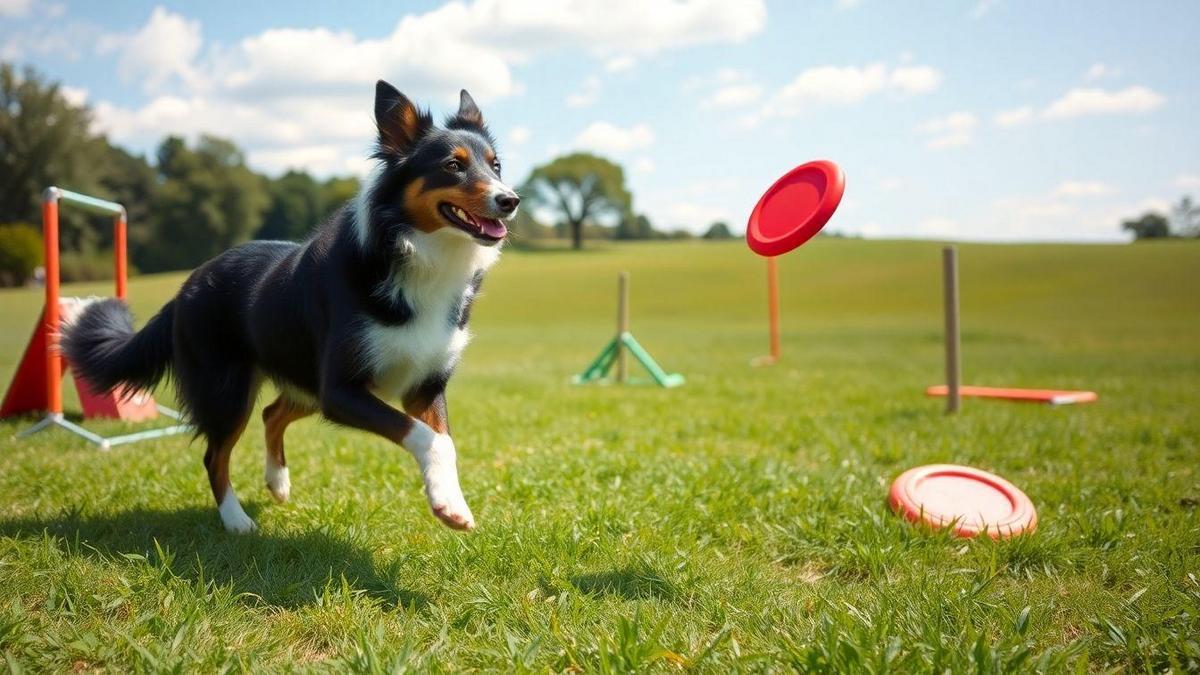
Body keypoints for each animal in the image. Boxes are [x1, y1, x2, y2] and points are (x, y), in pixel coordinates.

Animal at [63, 79, 518, 530]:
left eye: (496, 166)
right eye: (453, 166)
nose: (511, 200)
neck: (418, 254)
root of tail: (185, 288)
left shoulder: (423, 384)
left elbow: (445, 439)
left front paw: (452, 502)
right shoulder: (340, 389)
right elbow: (429, 437)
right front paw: (448, 506)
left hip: (300, 380)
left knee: (270, 413)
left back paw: (277, 482)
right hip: (228, 390)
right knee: (215, 455)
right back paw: (236, 520)